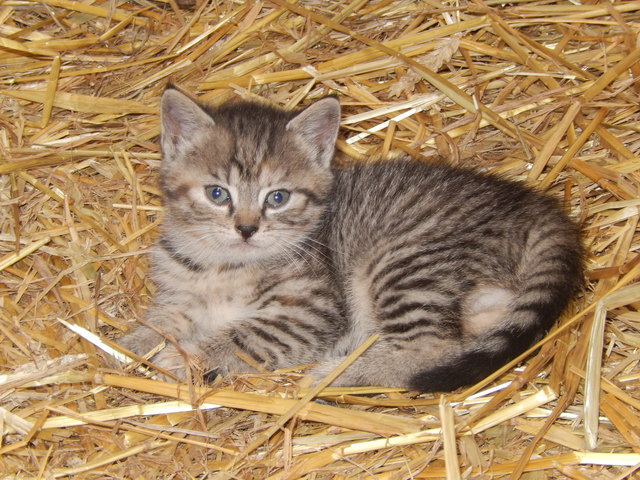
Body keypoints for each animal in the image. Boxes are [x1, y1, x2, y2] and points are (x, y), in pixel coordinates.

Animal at [121, 88, 584, 392]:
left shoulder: (312, 312)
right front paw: (129, 343)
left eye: (278, 198)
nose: (247, 229)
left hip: (403, 261)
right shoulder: (180, 295)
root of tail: (530, 205)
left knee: (432, 349)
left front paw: (190, 356)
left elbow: (248, 335)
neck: (224, 264)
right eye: (218, 194)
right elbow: (161, 320)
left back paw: (338, 375)